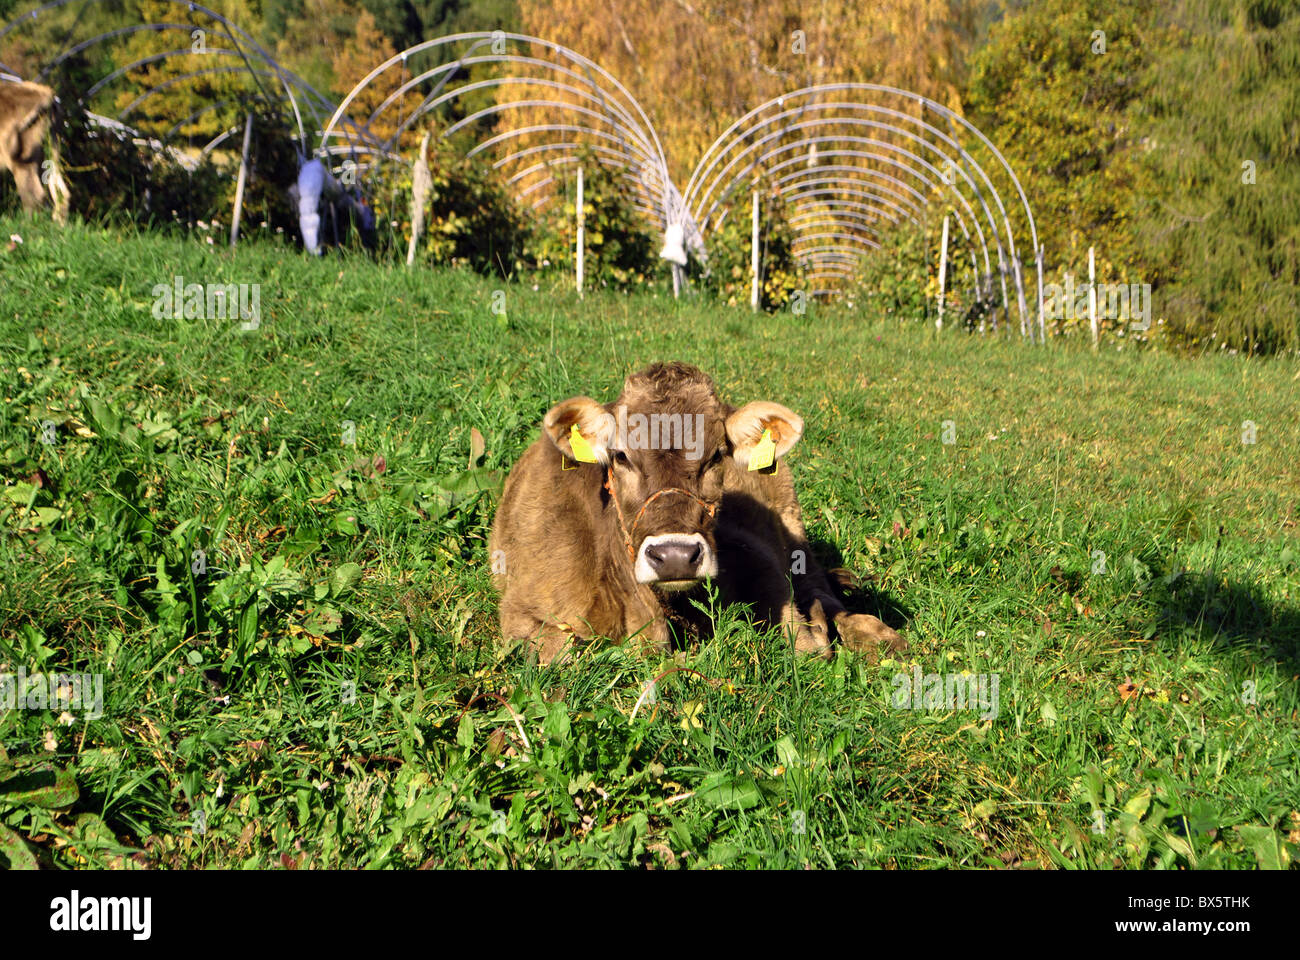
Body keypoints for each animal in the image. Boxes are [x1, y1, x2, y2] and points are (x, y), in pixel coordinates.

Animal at [489, 362, 906, 665]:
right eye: (621, 456)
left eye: (717, 455)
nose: (674, 556)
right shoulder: (520, 611)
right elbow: (564, 652)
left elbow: (802, 643)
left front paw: (816, 633)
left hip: (792, 523)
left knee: (819, 588)